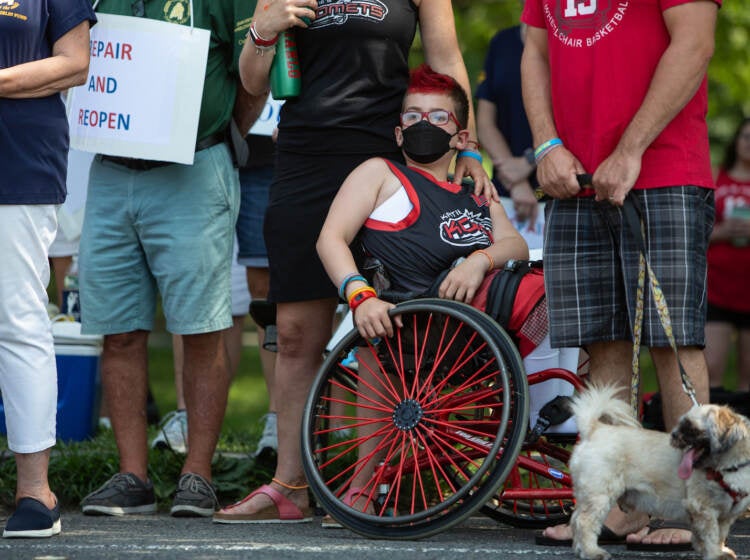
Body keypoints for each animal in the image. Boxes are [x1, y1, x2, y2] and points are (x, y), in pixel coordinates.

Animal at [568, 382, 750, 560]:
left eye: (691, 429)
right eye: (681, 425)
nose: (674, 435)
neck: (727, 469)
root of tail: (595, 429)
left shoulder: (726, 515)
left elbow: (719, 535)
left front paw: (719, 550)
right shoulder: (703, 508)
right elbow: (711, 534)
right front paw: (715, 554)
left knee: (575, 519)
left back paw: (580, 550)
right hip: (599, 495)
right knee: (584, 522)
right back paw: (592, 552)